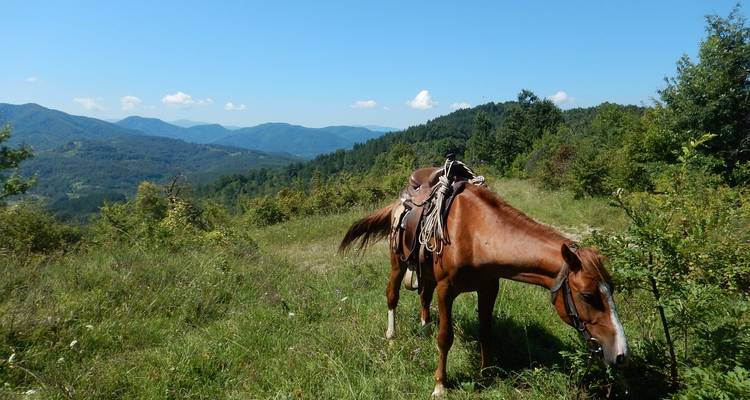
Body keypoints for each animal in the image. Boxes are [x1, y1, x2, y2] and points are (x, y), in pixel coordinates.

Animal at [339, 169, 628, 397]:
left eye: (612, 290)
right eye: (588, 296)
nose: (621, 354)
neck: (476, 234)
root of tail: (399, 202)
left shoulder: (489, 288)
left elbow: (485, 331)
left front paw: (487, 372)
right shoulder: (446, 290)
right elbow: (445, 337)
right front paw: (440, 384)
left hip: (425, 271)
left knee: (423, 296)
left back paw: (424, 327)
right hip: (398, 264)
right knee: (392, 295)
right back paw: (391, 336)